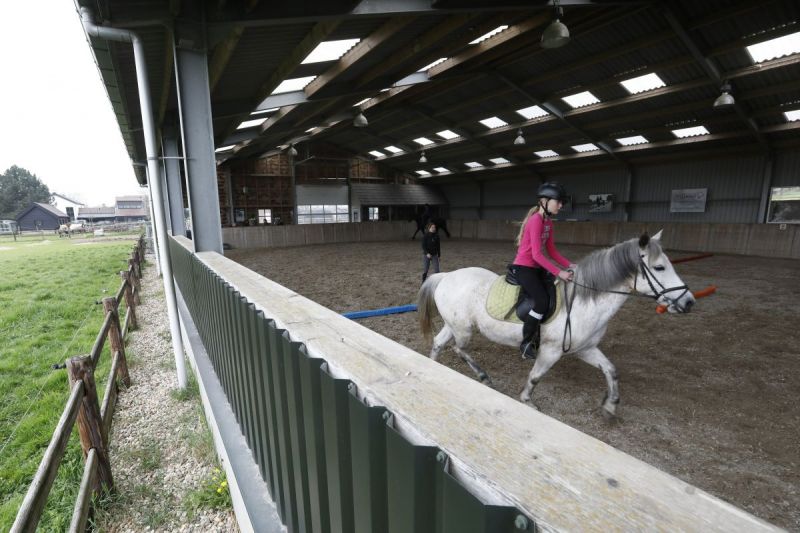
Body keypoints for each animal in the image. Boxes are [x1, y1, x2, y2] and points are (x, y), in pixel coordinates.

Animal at [418, 230, 692, 416]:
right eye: (659, 267)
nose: (689, 302)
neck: (583, 302)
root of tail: (446, 276)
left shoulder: (585, 349)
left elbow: (611, 370)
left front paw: (611, 406)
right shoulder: (550, 350)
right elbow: (535, 377)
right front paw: (527, 401)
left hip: (454, 325)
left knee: (440, 343)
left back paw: (434, 367)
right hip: (463, 329)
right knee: (459, 348)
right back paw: (484, 376)